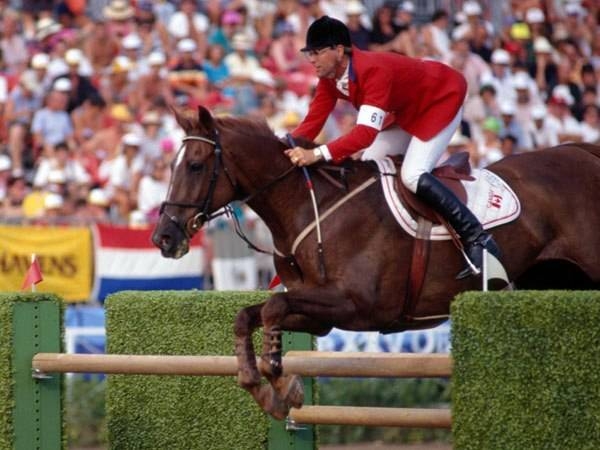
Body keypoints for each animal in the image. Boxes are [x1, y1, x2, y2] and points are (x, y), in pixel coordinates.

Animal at [152, 105, 600, 418]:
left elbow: (274, 308)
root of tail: (582, 152)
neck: (308, 206)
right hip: (555, 279)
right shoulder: (320, 314)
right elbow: (248, 316)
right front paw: (264, 386)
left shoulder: (358, 306)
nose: (164, 238)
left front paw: (281, 383)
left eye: (195, 166)